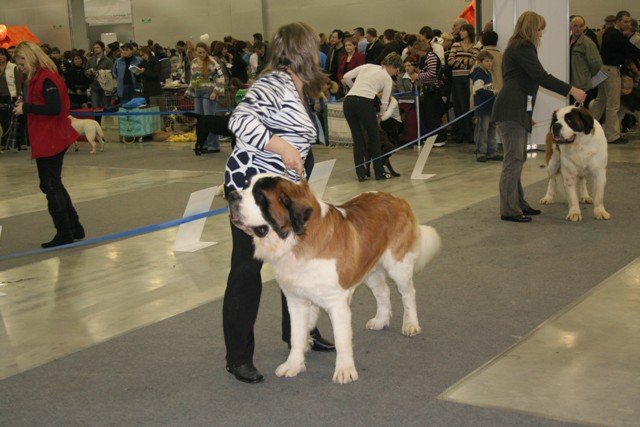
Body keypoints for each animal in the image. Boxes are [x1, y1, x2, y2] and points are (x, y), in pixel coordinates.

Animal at [228, 174, 442, 384]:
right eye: (246, 185)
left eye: (259, 196)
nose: (231, 195)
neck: (296, 239)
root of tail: (396, 198)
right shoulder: (296, 301)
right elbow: (296, 335)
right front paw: (294, 365)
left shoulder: (336, 303)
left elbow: (341, 339)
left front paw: (345, 371)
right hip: (369, 268)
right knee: (383, 292)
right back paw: (380, 320)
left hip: (399, 265)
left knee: (408, 293)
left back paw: (411, 324)